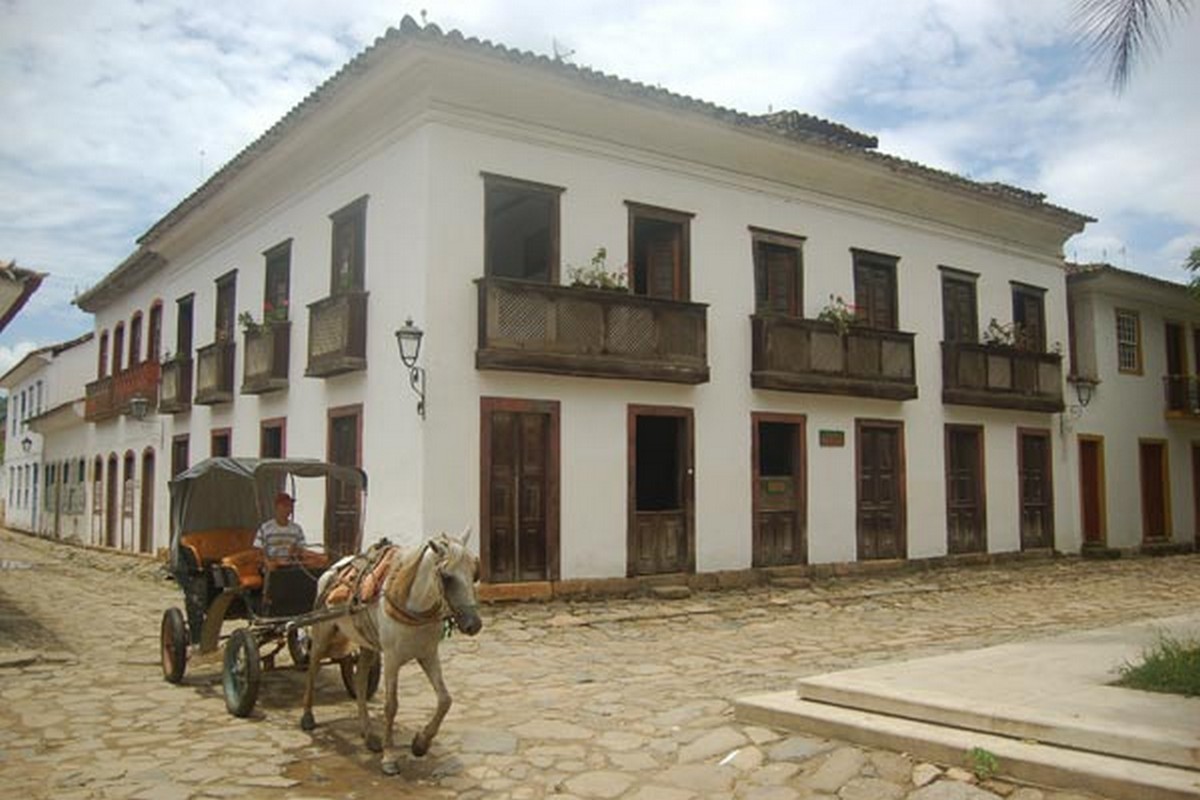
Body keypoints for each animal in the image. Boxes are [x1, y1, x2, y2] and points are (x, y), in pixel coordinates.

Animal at [297, 527, 480, 772]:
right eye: (447, 577)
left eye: (474, 573)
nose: (474, 624)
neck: (412, 606)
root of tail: (334, 568)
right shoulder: (393, 658)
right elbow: (391, 706)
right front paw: (389, 757)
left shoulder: (428, 654)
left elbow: (445, 700)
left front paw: (420, 743)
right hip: (322, 633)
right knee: (313, 668)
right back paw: (308, 717)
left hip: (366, 643)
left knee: (360, 681)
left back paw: (368, 735)